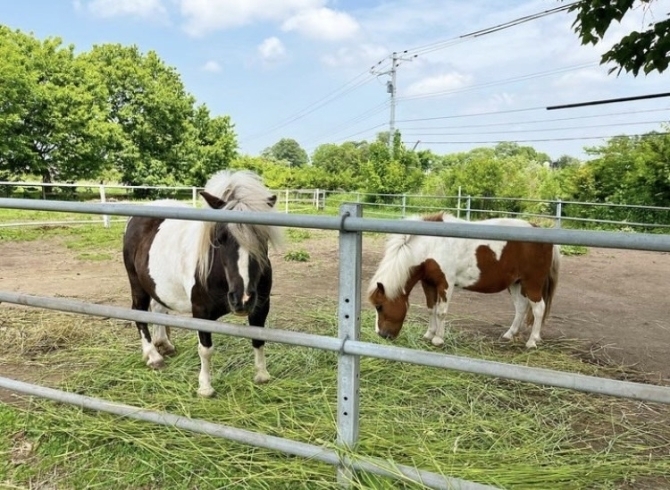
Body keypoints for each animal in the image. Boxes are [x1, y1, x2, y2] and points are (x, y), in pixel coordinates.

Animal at [123, 170, 284, 396]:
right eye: (220, 237)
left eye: (262, 238)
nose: (242, 298)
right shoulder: (201, 312)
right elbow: (206, 350)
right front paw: (205, 388)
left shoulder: (261, 306)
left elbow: (258, 339)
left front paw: (262, 376)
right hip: (136, 282)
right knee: (139, 312)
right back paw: (153, 356)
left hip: (155, 284)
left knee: (157, 308)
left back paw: (164, 344)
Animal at [368, 213, 560, 348]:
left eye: (380, 306)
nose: (382, 335)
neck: (432, 246)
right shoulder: (428, 283)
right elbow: (431, 309)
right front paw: (429, 334)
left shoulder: (446, 283)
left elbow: (441, 312)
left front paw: (438, 339)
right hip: (515, 284)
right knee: (521, 308)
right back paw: (509, 334)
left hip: (532, 283)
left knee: (538, 309)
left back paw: (532, 341)